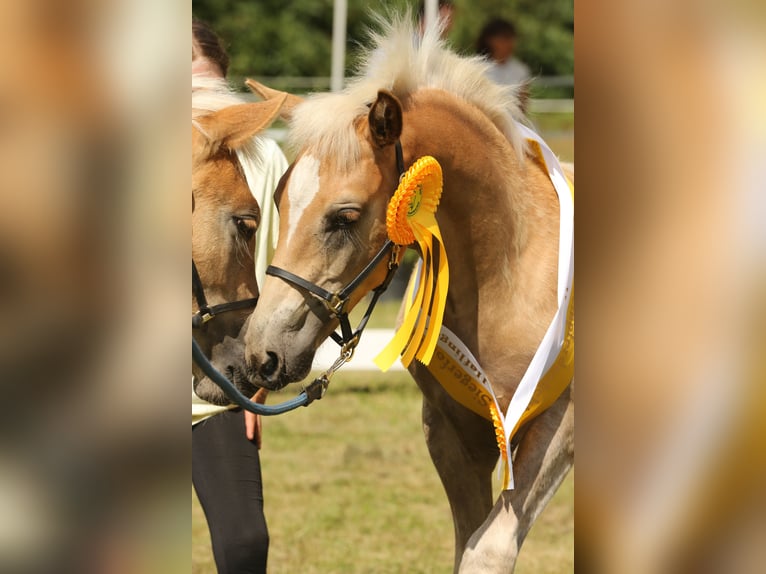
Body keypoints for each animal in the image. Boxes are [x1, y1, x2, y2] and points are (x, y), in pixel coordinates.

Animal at [243, 20, 572, 572]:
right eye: (278, 199)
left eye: (346, 217)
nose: (262, 354)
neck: (510, 278)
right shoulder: (451, 430)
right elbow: (467, 543)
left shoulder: (559, 426)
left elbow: (488, 550)